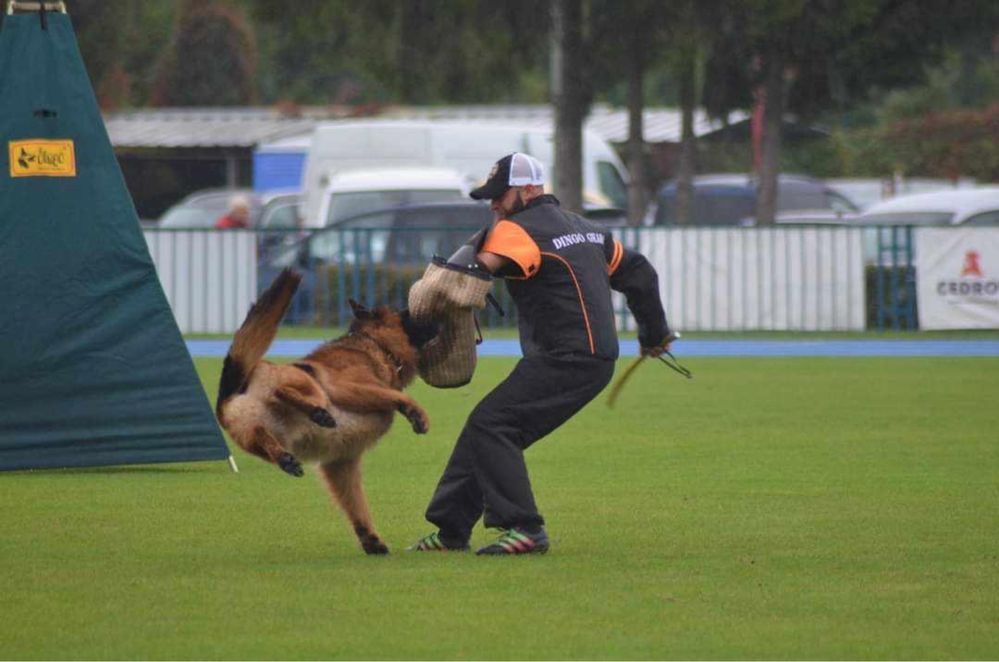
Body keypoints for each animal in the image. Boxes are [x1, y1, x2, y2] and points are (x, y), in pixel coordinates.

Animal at [215, 270, 438, 556]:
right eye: (407, 314)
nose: (436, 316)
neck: (374, 345)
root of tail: (234, 388)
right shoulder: (346, 387)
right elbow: (398, 396)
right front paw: (416, 413)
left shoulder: (340, 463)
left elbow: (356, 506)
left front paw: (371, 539)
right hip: (309, 381)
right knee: (284, 391)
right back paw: (316, 412)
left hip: (255, 435)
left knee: (263, 436)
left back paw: (285, 457)